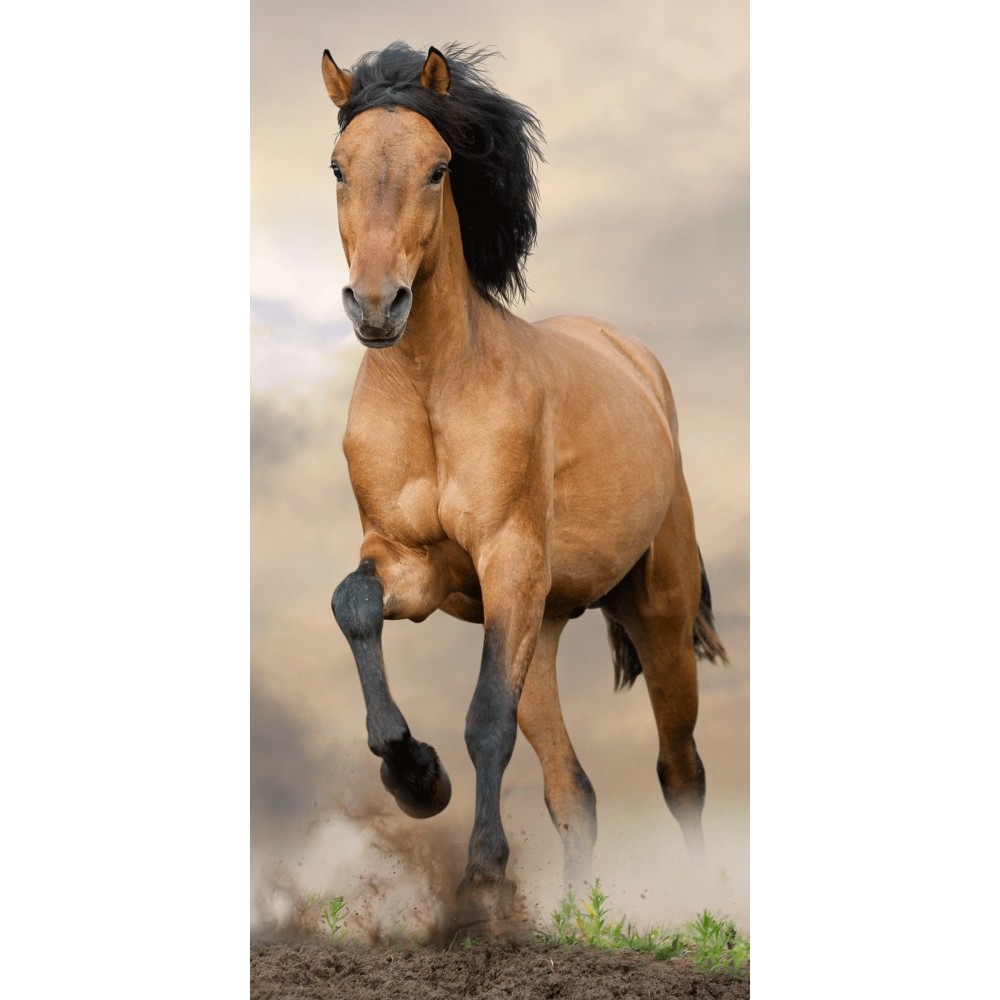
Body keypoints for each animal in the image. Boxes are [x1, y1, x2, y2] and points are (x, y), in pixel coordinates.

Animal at [322, 42, 727, 892]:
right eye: (339, 167)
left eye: (440, 167)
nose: (376, 307)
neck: (432, 390)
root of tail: (633, 358)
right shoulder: (413, 566)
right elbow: (354, 606)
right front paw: (415, 777)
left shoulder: (507, 558)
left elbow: (485, 722)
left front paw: (483, 871)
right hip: (539, 625)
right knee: (575, 792)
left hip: (658, 614)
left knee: (680, 772)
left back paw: (703, 897)